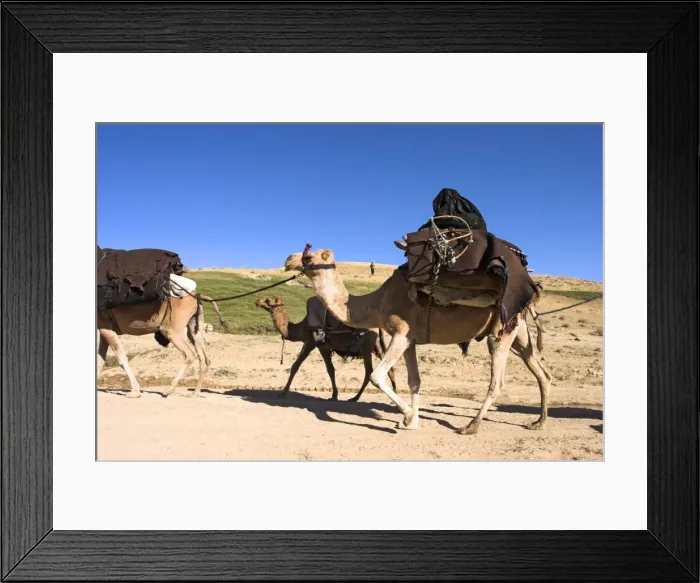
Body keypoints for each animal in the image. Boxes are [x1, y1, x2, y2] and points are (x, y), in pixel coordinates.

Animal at [97, 294, 227, 399]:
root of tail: (195, 296)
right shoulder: (103, 327)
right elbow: (100, 360)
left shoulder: (105, 324)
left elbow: (121, 359)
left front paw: (135, 392)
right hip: (194, 327)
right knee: (204, 358)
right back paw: (194, 393)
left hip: (172, 329)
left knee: (190, 354)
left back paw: (169, 389)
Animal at [255, 295, 397, 401]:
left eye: (268, 300)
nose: (257, 301)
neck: (300, 327)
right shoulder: (320, 346)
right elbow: (330, 370)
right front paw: (334, 395)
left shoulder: (313, 343)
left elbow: (296, 366)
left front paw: (283, 393)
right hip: (376, 346)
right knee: (388, 367)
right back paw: (393, 395)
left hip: (366, 348)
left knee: (368, 372)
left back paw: (355, 398)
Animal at [285, 249, 552, 434]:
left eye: (308, 256)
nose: (288, 259)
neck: (378, 301)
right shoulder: (410, 340)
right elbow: (414, 381)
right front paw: (413, 421)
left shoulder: (400, 333)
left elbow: (377, 376)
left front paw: (407, 417)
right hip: (518, 332)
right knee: (541, 371)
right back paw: (539, 422)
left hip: (500, 333)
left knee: (497, 382)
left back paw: (470, 427)